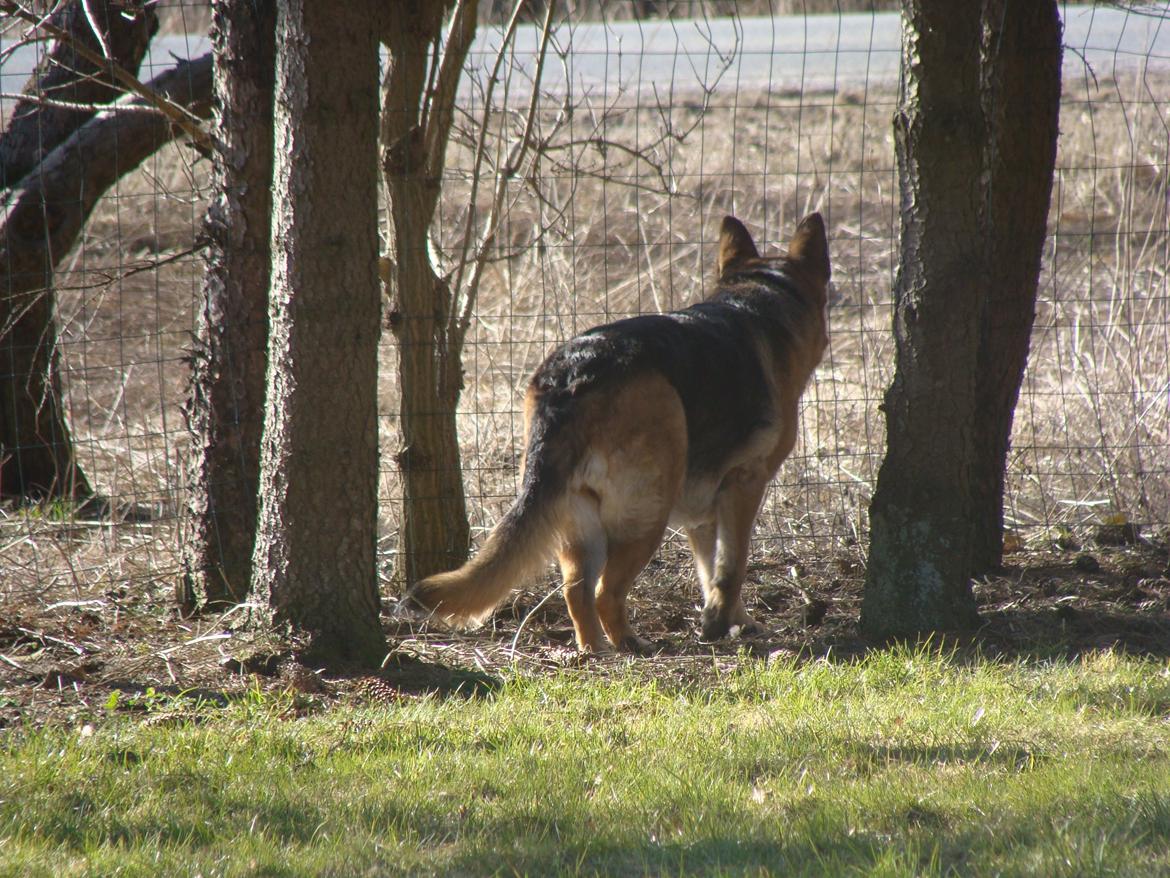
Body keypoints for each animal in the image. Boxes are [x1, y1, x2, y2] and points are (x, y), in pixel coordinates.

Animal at [407, 213, 828, 655]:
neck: (760, 297)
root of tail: (571, 374)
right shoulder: (744, 487)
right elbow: (732, 567)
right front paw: (719, 624)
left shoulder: (704, 516)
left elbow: (711, 572)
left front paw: (734, 621)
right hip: (647, 513)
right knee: (605, 592)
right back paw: (629, 644)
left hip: (578, 522)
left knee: (576, 592)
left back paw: (593, 651)